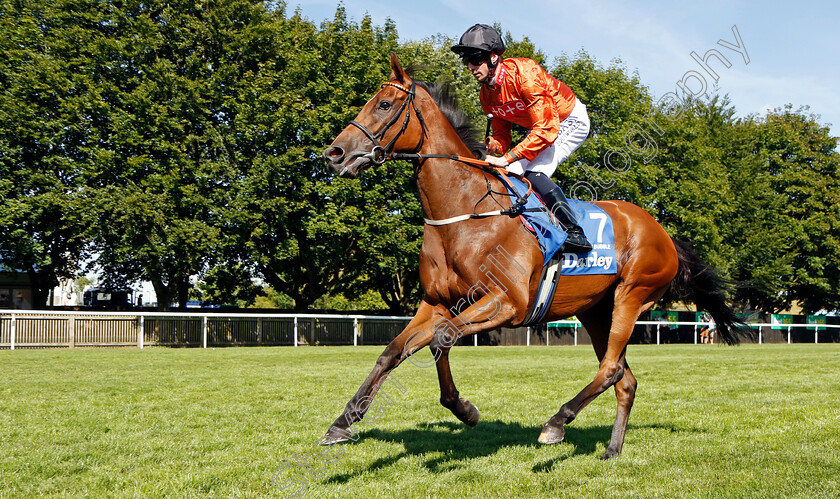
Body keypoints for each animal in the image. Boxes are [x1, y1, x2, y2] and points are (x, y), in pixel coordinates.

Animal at [322, 51, 748, 460]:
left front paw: (465, 409)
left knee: (611, 369)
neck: (465, 212)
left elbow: (442, 338)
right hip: (596, 311)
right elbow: (396, 350)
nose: (334, 153)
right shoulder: (438, 301)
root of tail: (663, 233)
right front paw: (343, 423)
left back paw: (557, 422)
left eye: (384, 104)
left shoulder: (507, 302)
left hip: (631, 297)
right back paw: (612, 448)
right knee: (624, 380)